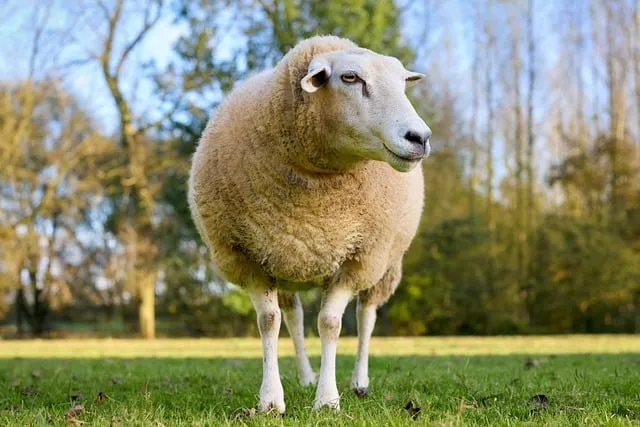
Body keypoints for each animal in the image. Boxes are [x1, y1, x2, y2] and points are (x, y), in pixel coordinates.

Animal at [188, 35, 431, 413]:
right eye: (350, 77)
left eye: (402, 83)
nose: (420, 137)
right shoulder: (246, 257)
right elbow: (269, 322)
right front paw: (271, 399)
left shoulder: (357, 258)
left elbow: (330, 324)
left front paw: (327, 399)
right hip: (285, 259)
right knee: (294, 318)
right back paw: (305, 376)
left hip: (383, 262)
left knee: (367, 315)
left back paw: (359, 382)